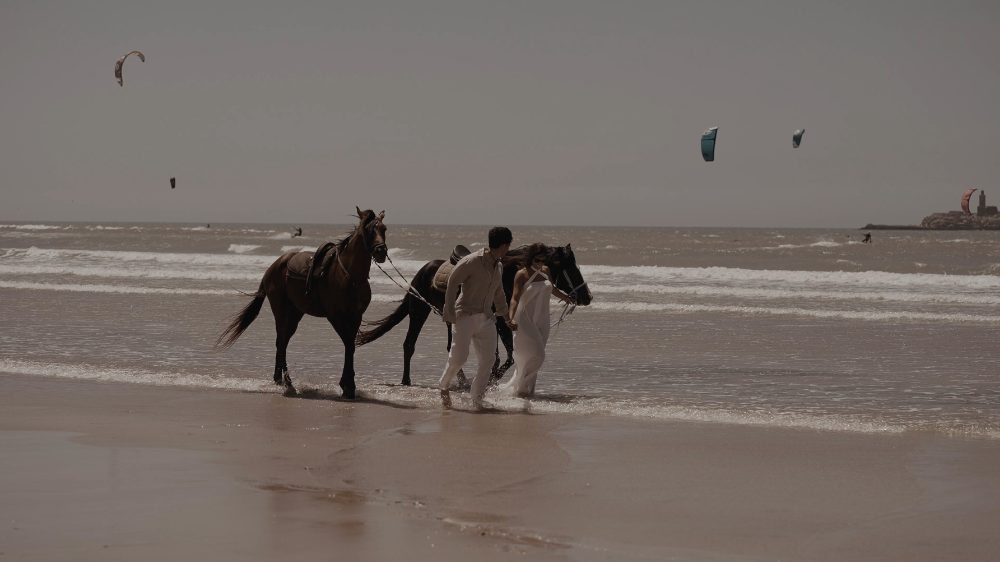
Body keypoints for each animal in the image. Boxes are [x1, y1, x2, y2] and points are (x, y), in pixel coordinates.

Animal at [216, 207, 388, 399]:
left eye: (384, 229)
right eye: (369, 230)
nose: (381, 251)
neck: (350, 277)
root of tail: (274, 265)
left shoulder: (356, 316)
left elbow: (350, 345)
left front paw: (348, 386)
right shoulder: (335, 316)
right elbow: (348, 344)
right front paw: (347, 386)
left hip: (295, 313)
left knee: (283, 341)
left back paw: (280, 380)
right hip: (281, 311)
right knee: (281, 342)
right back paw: (287, 383)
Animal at [356, 243, 592, 386]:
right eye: (570, 267)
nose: (587, 296)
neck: (508, 274)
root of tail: (422, 270)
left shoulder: (496, 322)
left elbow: (500, 356)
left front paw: (490, 379)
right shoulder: (502, 322)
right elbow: (507, 356)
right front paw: (491, 380)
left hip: (448, 317)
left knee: (451, 348)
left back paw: (461, 381)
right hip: (418, 311)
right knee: (409, 344)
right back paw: (407, 380)